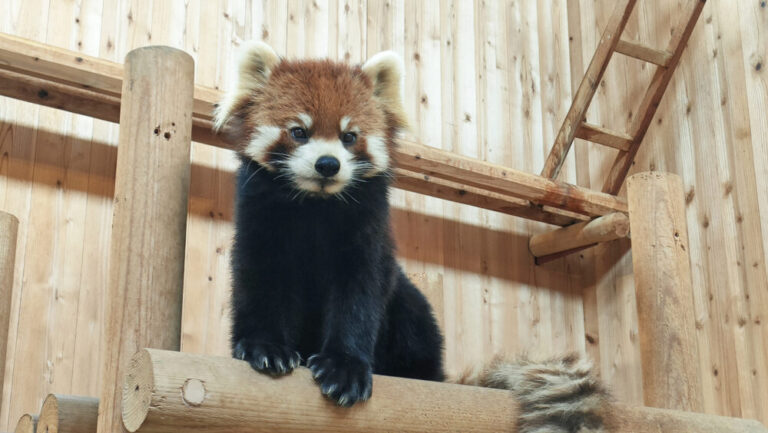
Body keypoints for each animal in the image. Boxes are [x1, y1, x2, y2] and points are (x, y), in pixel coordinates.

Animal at [213, 41, 608, 432]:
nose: (328, 164)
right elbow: (258, 283)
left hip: (412, 315)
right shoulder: (260, 222)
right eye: (299, 131)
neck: (316, 205)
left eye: (349, 137)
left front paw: (345, 367)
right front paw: (264, 347)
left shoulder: (368, 234)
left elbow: (360, 296)